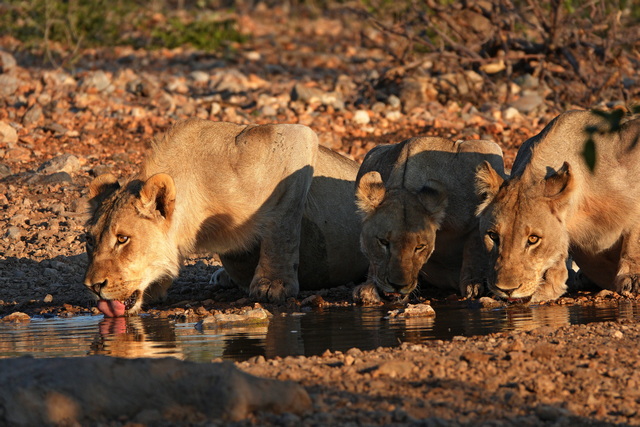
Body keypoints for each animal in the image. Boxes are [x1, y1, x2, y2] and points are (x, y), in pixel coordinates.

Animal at [84, 118, 368, 316]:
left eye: (122, 239)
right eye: (90, 241)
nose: (92, 286)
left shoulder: (295, 142)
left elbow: (282, 227)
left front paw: (272, 285)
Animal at [353, 136, 505, 303]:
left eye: (419, 247)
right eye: (383, 242)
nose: (398, 286)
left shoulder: (486, 150)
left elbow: (473, 249)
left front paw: (472, 284)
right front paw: (368, 287)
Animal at [476, 109, 640, 302]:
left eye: (533, 239)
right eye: (493, 236)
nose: (506, 290)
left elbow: (634, 239)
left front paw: (633, 278)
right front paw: (549, 287)